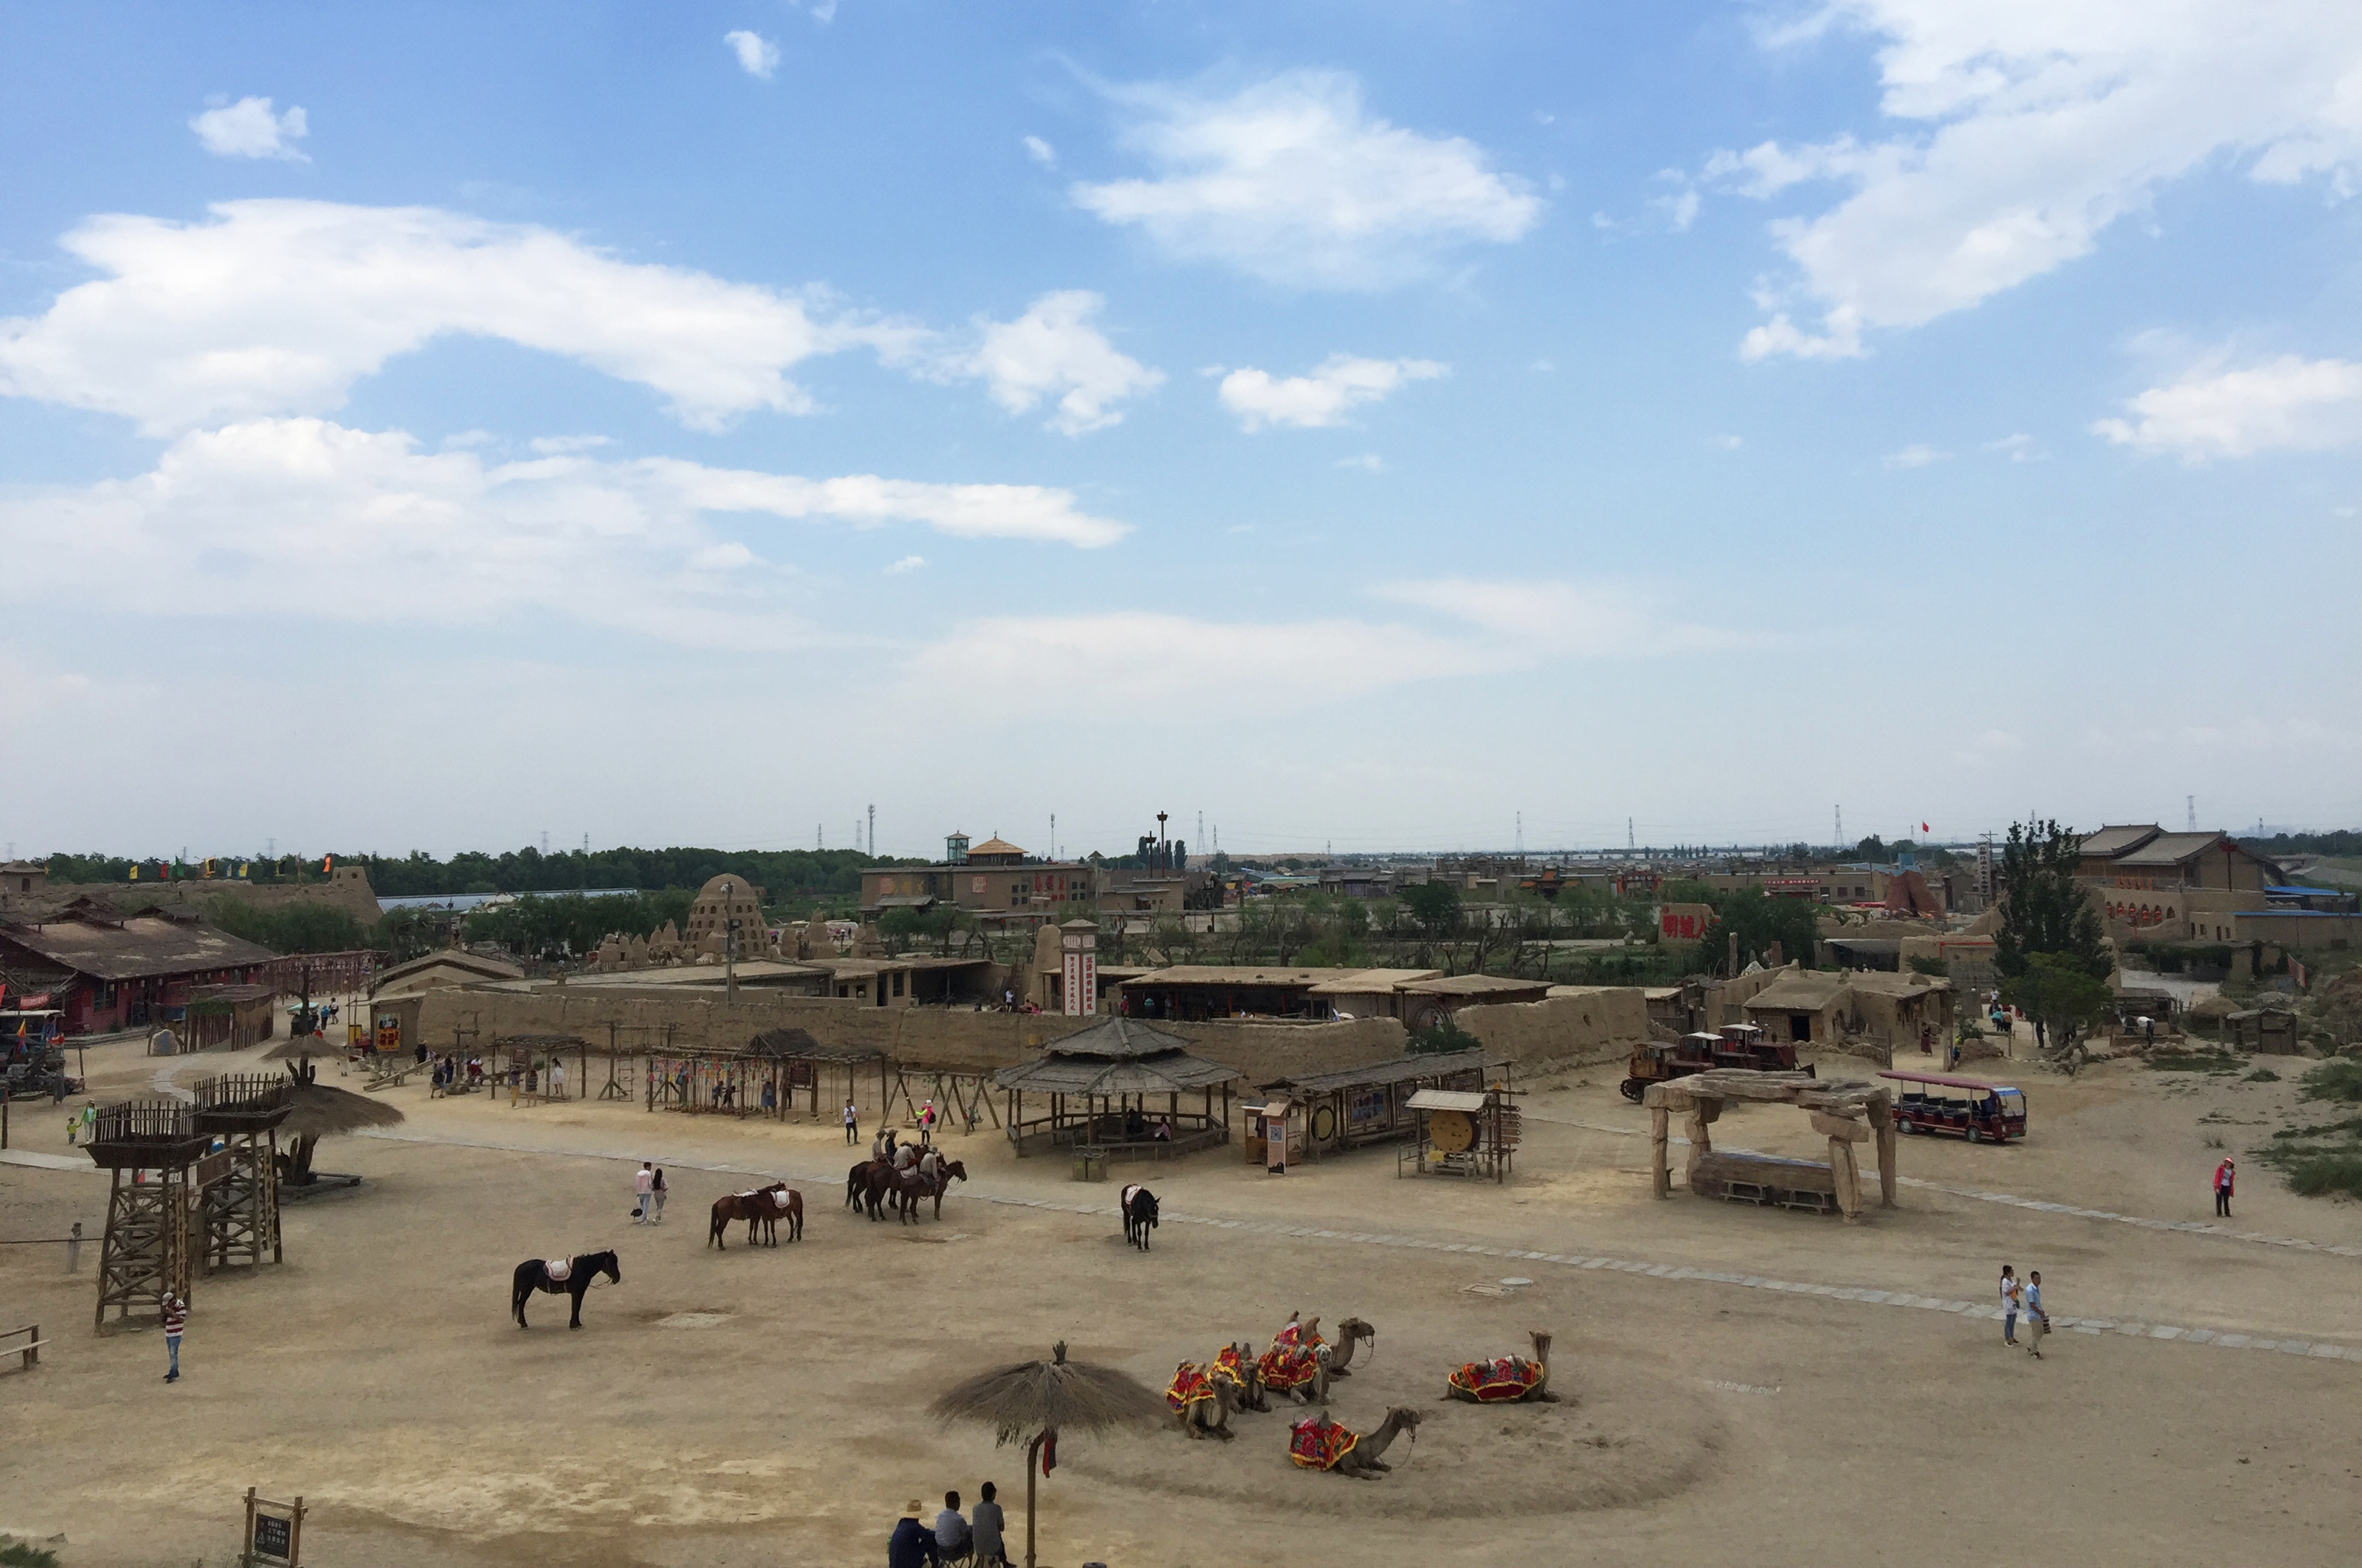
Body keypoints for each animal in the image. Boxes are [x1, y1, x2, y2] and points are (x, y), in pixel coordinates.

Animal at [510, 1247, 619, 1331]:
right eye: (611, 1262)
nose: (618, 1278)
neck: (581, 1268)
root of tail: (520, 1267)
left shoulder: (580, 1292)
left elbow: (577, 1307)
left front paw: (577, 1324)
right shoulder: (576, 1292)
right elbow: (575, 1307)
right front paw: (574, 1325)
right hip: (526, 1290)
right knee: (521, 1304)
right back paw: (524, 1324)